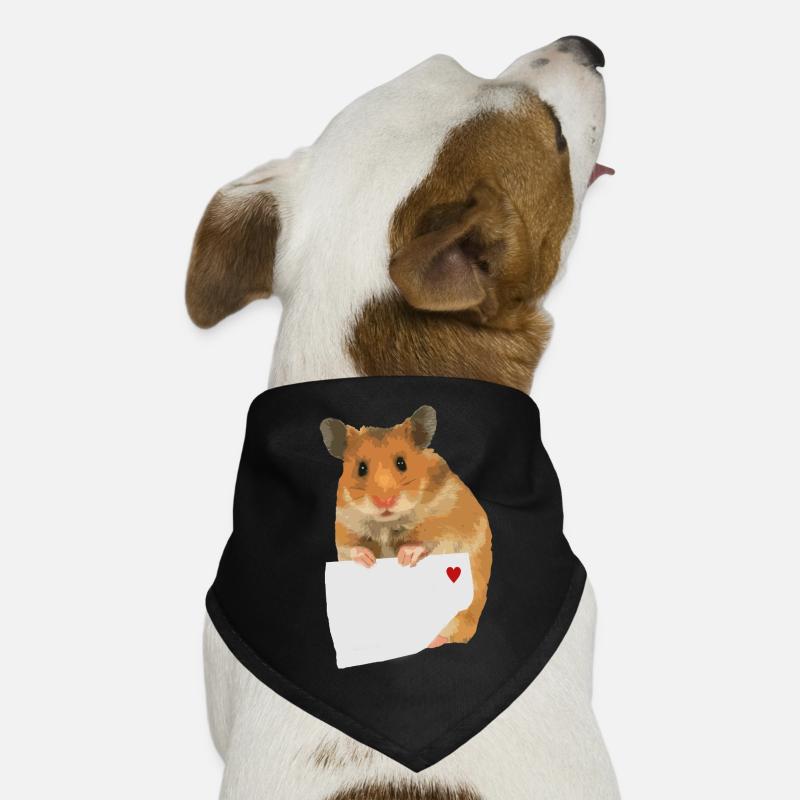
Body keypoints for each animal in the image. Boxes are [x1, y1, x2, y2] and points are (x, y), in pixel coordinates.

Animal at [320, 405, 492, 646]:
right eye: (361, 468)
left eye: (402, 463)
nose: (384, 501)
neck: (388, 522)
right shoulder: (344, 525)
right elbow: (351, 547)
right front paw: (368, 559)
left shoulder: (449, 521)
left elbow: (431, 540)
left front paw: (404, 556)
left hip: (465, 612)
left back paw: (432, 641)